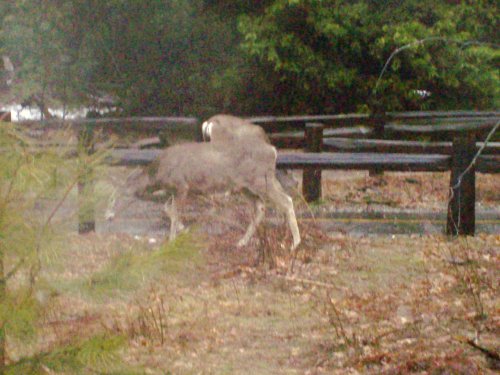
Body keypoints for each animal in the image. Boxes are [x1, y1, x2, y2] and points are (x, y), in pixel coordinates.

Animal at [133, 114, 300, 250]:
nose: (136, 193)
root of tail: (272, 150)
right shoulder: (176, 190)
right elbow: (168, 209)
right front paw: (183, 231)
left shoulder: (182, 186)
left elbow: (173, 212)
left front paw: (172, 241)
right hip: (246, 186)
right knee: (261, 207)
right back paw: (242, 241)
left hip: (261, 180)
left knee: (286, 201)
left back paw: (295, 243)